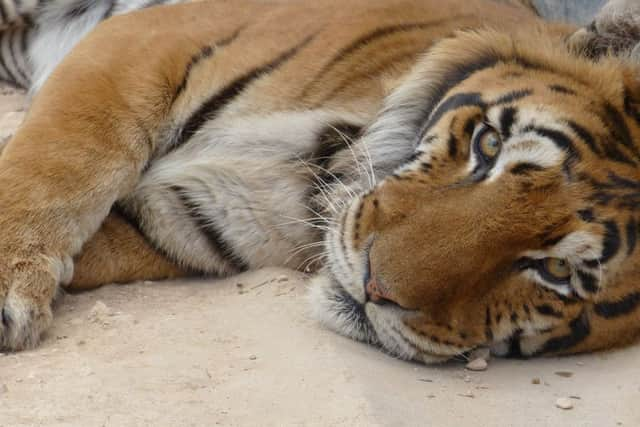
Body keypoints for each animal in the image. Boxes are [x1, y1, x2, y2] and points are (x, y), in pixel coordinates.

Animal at [0, 0, 640, 364]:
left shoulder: (182, 217)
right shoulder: (143, 40)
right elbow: (60, 159)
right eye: (489, 145)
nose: (374, 287)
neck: (324, 167)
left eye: (557, 270)